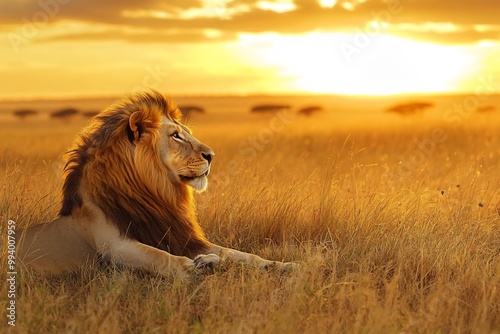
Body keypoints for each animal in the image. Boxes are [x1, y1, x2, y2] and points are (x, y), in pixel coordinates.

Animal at [17, 90, 294, 278]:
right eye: (176, 136)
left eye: (187, 133)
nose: (212, 155)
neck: (157, 195)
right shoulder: (114, 247)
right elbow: (160, 257)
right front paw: (200, 266)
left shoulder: (181, 238)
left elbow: (238, 253)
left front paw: (281, 265)